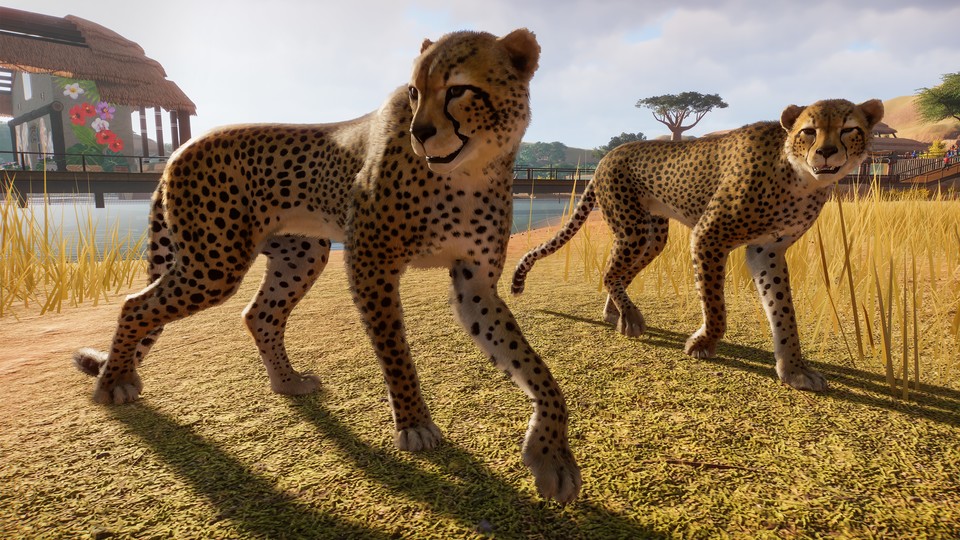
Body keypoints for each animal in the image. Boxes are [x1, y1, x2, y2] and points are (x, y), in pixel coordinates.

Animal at [71, 28, 580, 502]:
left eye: (458, 89)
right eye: (414, 91)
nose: (420, 133)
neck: (468, 171)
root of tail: (180, 149)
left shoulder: (475, 285)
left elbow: (532, 366)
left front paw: (551, 454)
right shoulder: (371, 263)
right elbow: (396, 353)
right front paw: (415, 424)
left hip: (302, 253)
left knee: (259, 314)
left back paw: (287, 382)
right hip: (214, 265)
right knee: (136, 305)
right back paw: (113, 383)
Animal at [512, 98, 880, 392]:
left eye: (849, 129)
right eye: (809, 131)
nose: (826, 152)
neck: (798, 176)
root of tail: (608, 155)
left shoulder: (767, 250)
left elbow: (783, 312)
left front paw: (794, 370)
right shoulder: (708, 236)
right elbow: (715, 306)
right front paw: (703, 343)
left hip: (652, 236)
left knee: (618, 272)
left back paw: (615, 313)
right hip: (631, 228)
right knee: (610, 272)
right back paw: (629, 317)